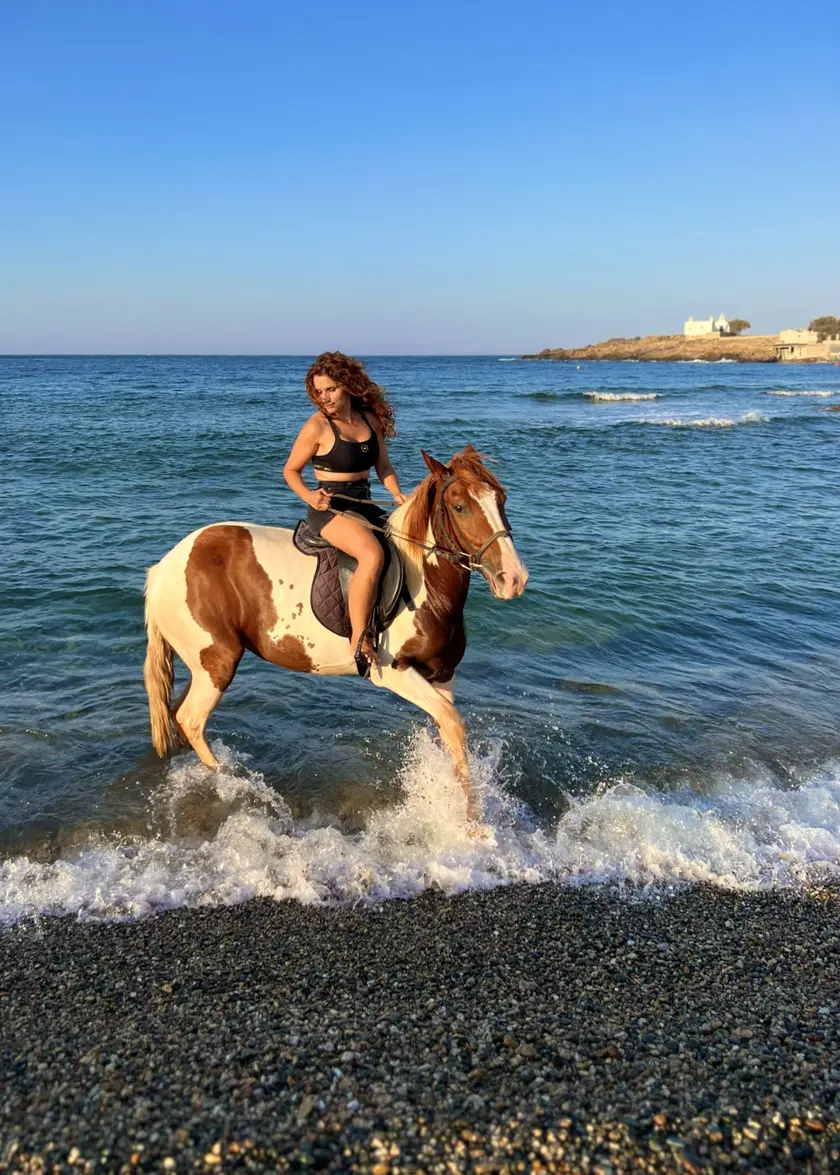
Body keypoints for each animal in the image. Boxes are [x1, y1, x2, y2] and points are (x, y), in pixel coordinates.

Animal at [142, 446, 528, 827]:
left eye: (501, 499)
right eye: (460, 506)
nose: (514, 578)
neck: (422, 582)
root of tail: (164, 566)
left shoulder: (443, 675)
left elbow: (448, 734)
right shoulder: (393, 673)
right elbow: (452, 722)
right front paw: (471, 823)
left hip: (203, 667)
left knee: (179, 716)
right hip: (217, 663)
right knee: (191, 720)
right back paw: (230, 781)